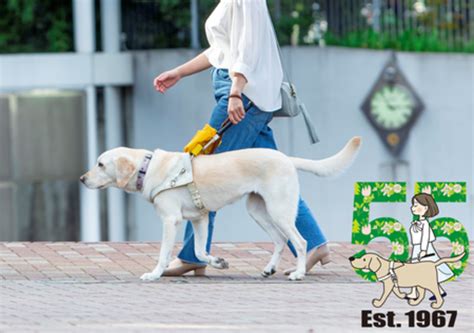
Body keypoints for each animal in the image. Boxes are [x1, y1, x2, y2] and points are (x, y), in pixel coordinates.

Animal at [81, 136, 362, 280]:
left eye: (101, 164)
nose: (82, 179)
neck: (147, 168)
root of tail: (286, 158)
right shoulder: (199, 219)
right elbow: (199, 251)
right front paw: (218, 262)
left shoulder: (170, 220)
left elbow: (163, 254)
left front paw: (154, 274)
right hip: (258, 211)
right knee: (281, 240)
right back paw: (270, 268)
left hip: (279, 211)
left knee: (300, 242)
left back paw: (299, 273)